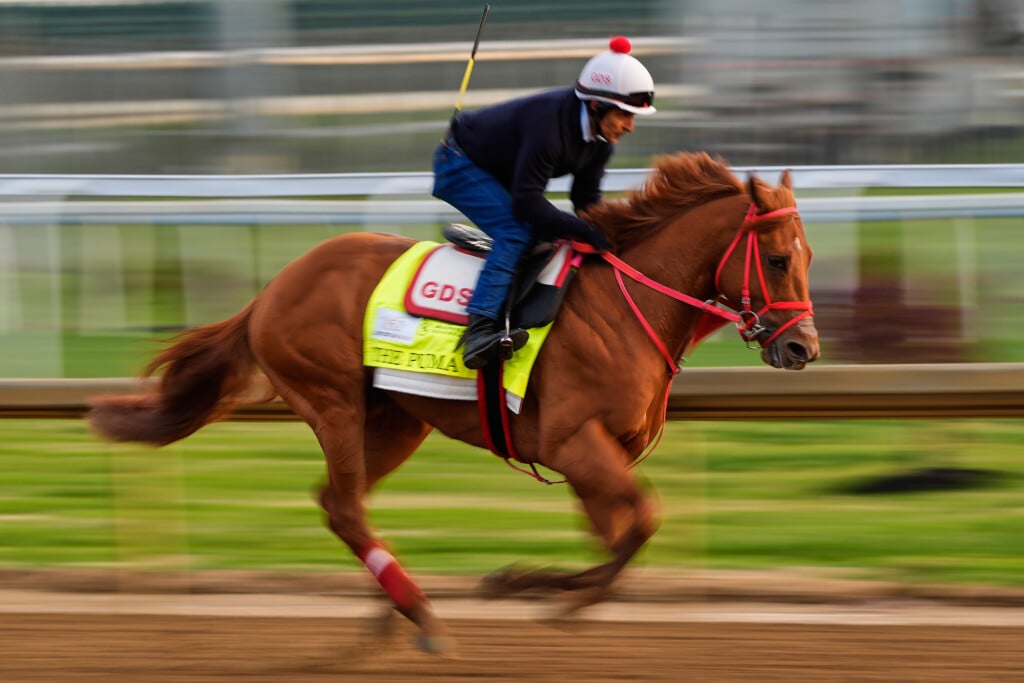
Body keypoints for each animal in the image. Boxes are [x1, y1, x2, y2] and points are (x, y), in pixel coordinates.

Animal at [87, 151, 819, 655]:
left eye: (807, 255)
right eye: (778, 259)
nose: (803, 348)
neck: (627, 304)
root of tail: (272, 290)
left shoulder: (599, 457)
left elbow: (619, 536)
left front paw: (541, 586)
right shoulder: (574, 443)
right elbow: (641, 522)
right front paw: (529, 588)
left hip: (396, 420)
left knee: (340, 503)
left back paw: (395, 615)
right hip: (334, 400)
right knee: (346, 506)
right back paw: (421, 614)